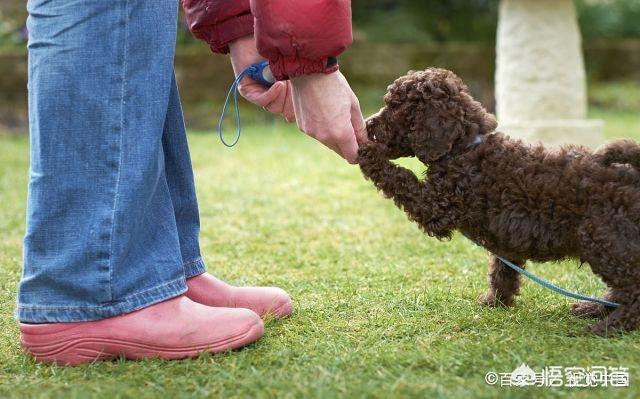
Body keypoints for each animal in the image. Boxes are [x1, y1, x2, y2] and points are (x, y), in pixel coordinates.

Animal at [358, 69, 640, 338]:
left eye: (396, 107)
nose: (367, 124)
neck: (464, 148)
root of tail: (633, 176)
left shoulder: (438, 206)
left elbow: (401, 178)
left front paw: (367, 152)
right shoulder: (507, 238)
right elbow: (501, 270)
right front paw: (495, 301)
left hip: (604, 239)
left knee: (633, 288)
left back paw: (609, 326)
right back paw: (594, 308)